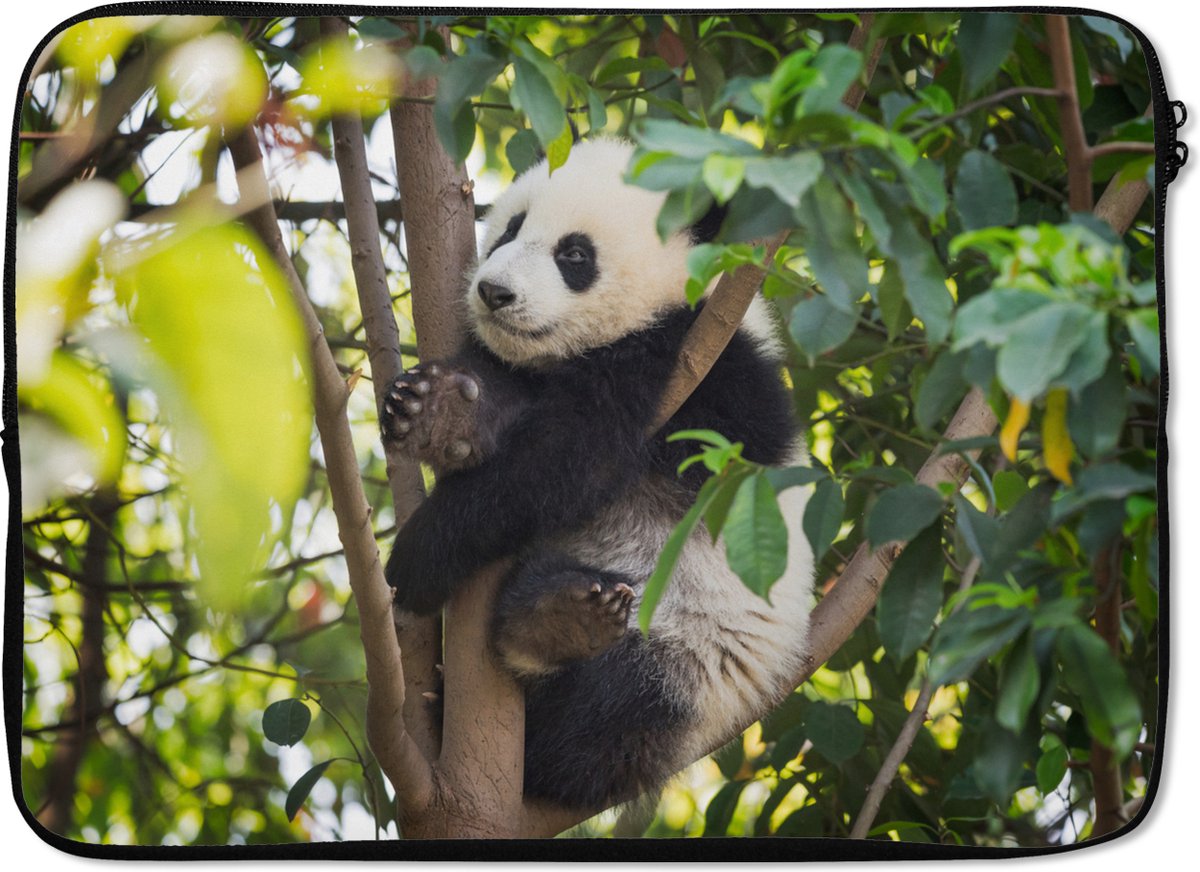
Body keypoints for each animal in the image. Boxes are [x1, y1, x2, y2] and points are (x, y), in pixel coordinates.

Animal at [382, 138, 814, 811]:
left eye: (575, 255)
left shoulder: (691, 364)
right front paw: (442, 410)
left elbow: (563, 464)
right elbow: (517, 404)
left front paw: (417, 561)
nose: (494, 293)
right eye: (511, 227)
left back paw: (555, 629)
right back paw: (556, 611)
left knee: (598, 720)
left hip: (694, 659)